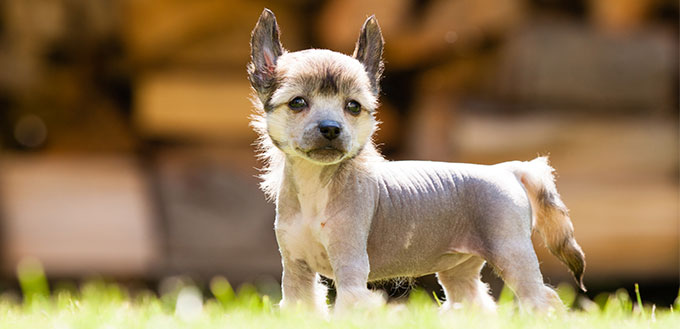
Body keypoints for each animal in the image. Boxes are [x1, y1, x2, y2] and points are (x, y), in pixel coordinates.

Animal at [247, 9, 588, 314]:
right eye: (298, 103)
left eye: (353, 107)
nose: (331, 128)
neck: (316, 187)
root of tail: (506, 169)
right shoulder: (297, 274)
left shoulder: (350, 272)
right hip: (459, 270)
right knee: (475, 301)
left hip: (512, 253)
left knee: (542, 299)